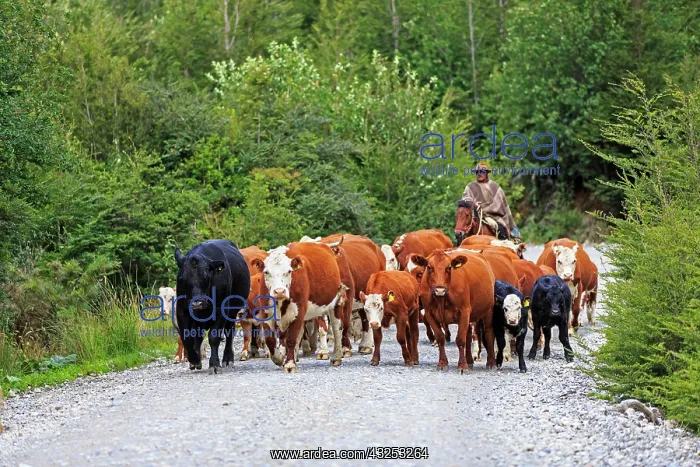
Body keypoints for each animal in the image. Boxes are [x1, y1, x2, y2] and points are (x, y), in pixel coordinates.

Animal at [174, 240, 251, 373]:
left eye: (207, 276)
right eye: (182, 278)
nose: (197, 303)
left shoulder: (220, 309)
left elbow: (214, 337)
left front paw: (214, 364)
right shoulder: (182, 310)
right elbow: (186, 337)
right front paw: (194, 360)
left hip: (231, 313)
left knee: (229, 333)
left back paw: (227, 359)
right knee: (198, 335)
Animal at [252, 241, 347, 372]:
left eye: (289, 271)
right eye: (266, 272)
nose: (279, 291)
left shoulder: (298, 312)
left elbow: (291, 339)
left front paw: (289, 364)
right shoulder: (267, 313)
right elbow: (271, 340)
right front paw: (280, 358)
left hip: (337, 302)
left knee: (337, 329)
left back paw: (336, 357)